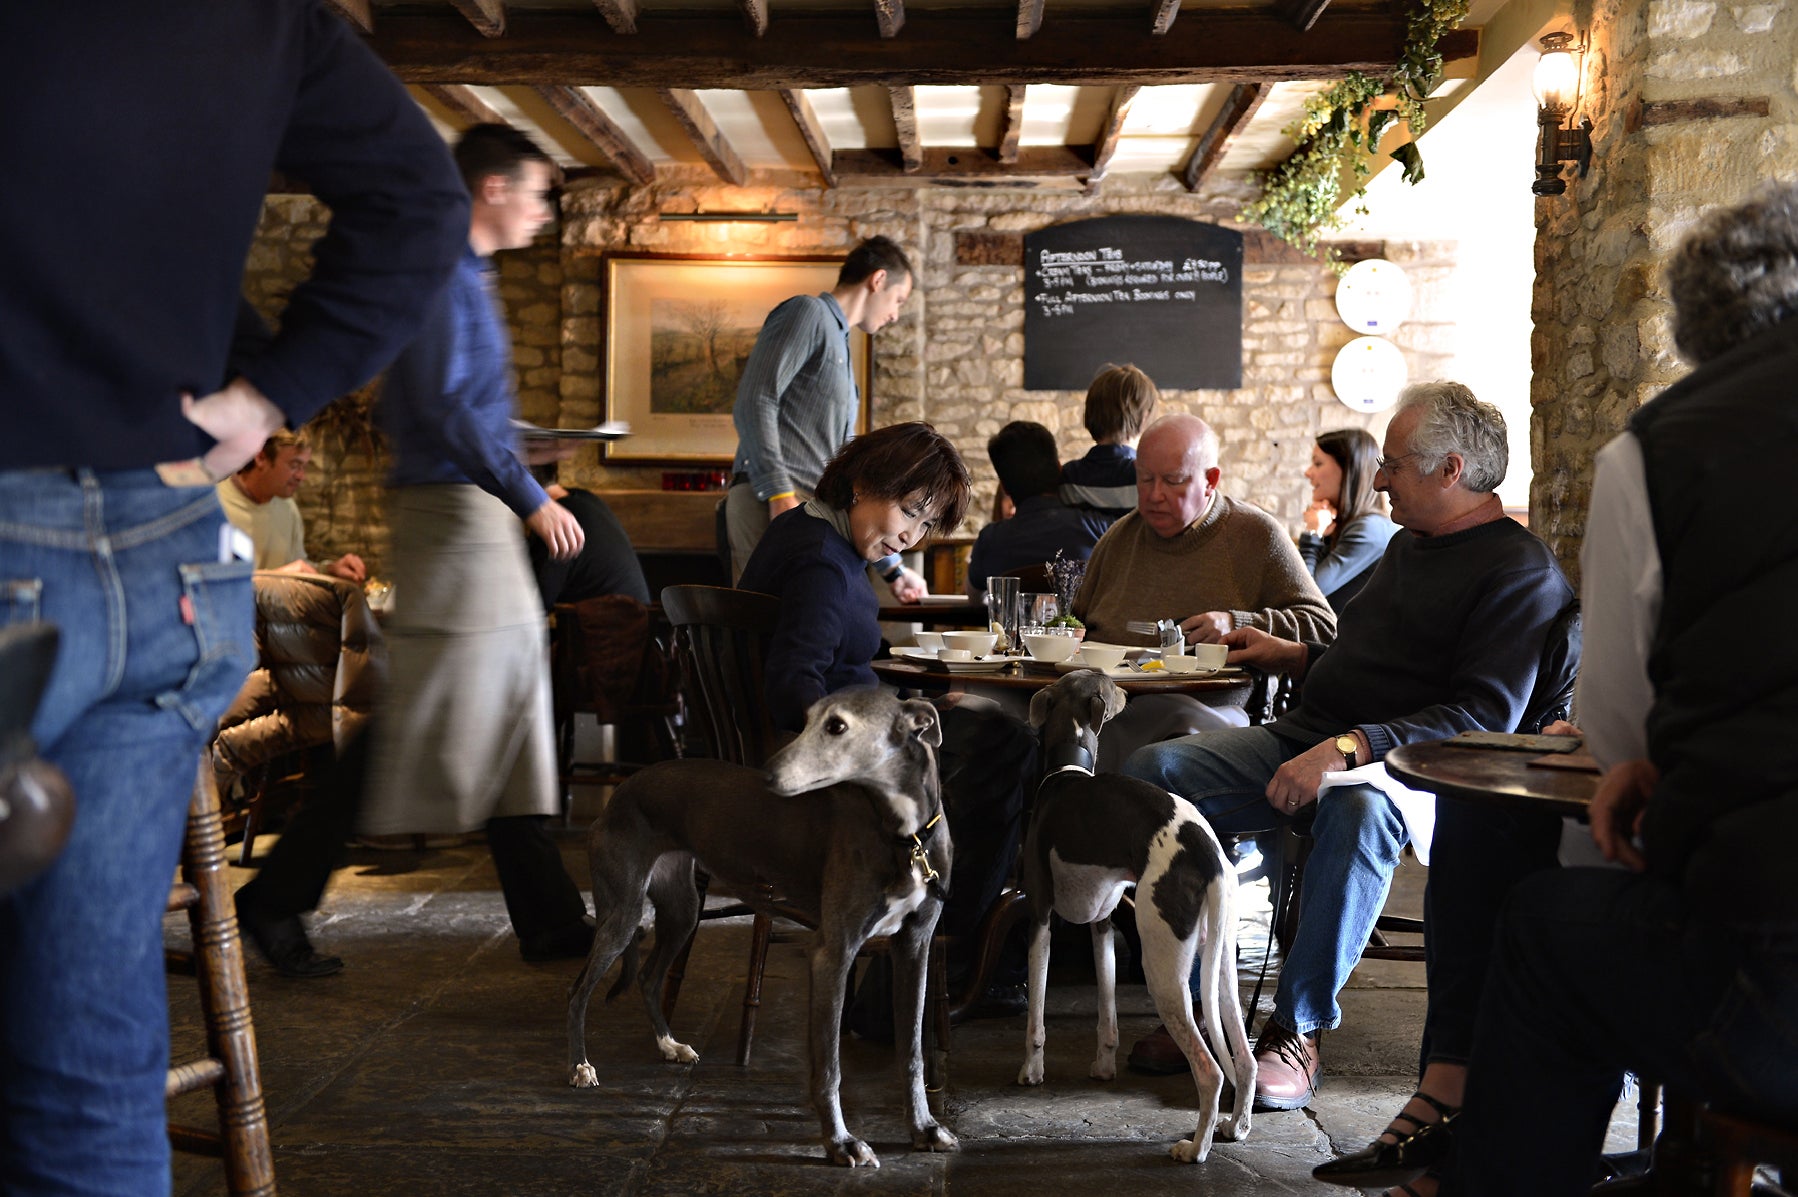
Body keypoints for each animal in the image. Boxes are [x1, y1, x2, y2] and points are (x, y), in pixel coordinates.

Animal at [564, 686, 956, 1157]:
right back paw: (580, 1066)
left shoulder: (915, 946)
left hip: (683, 911)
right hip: (622, 913)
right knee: (578, 990)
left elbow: (912, 1052)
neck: (905, 836)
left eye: (837, 726)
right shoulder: (834, 951)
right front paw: (840, 1143)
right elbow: (829, 1065)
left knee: (648, 977)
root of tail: (623, 788)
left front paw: (924, 1128)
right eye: (806, 719)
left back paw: (668, 1045)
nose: (768, 776)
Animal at [1021, 665, 1258, 1157]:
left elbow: (1036, 1014)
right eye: (1106, 683)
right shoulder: (1102, 925)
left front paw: (1031, 1071)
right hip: (1220, 967)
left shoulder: (1039, 918)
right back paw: (1235, 1127)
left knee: (1211, 1071)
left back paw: (1196, 1149)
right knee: (1244, 1061)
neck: (1066, 772)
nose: (1129, 691)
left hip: (1162, 967)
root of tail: (1207, 850)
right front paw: (1103, 1067)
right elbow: (1107, 1013)